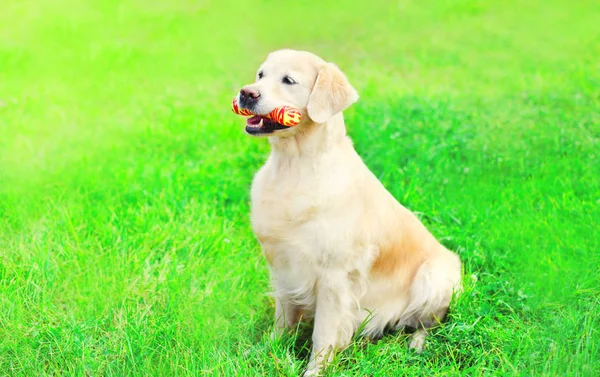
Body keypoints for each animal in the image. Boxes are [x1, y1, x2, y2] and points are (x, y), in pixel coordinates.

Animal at [237, 50, 462, 376]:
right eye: (260, 75)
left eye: (288, 80)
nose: (246, 93)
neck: (295, 167)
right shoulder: (282, 264)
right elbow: (282, 319)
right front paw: (264, 351)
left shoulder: (335, 277)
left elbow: (323, 334)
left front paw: (314, 371)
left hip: (435, 276)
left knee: (428, 323)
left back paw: (416, 345)